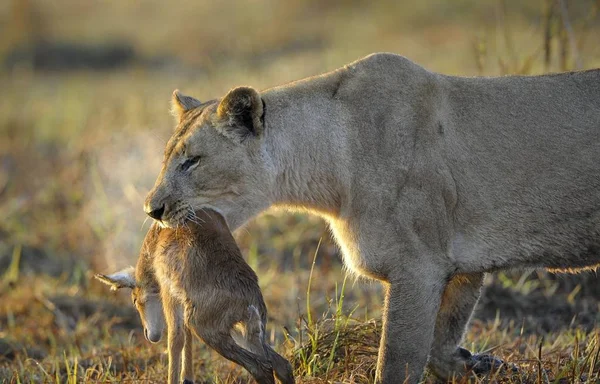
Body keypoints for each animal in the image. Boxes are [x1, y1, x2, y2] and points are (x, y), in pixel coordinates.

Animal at [95, 210, 294, 384]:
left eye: (135, 300)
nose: (148, 334)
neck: (156, 239)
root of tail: (252, 299)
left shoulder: (169, 294)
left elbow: (175, 339)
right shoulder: (183, 303)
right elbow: (185, 337)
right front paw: (187, 378)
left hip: (208, 330)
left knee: (262, 368)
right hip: (244, 333)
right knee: (282, 365)